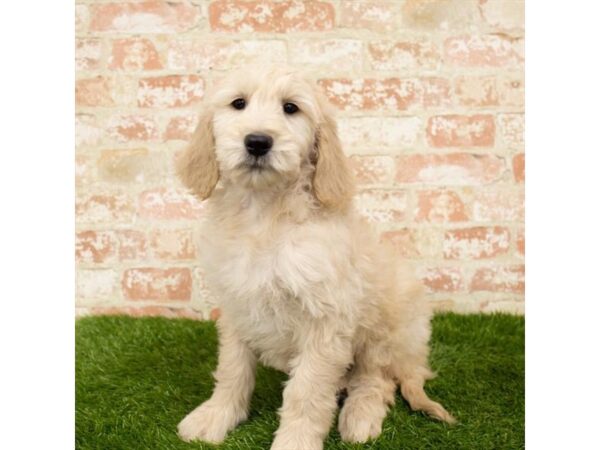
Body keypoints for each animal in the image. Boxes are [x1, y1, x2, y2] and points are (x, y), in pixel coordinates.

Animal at [176, 64, 452, 450]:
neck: (265, 214)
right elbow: (232, 368)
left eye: (291, 108)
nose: (257, 141)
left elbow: (305, 391)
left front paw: (295, 441)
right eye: (238, 103)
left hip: (386, 325)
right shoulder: (237, 306)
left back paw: (360, 417)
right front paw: (217, 415)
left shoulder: (326, 318)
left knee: (377, 380)